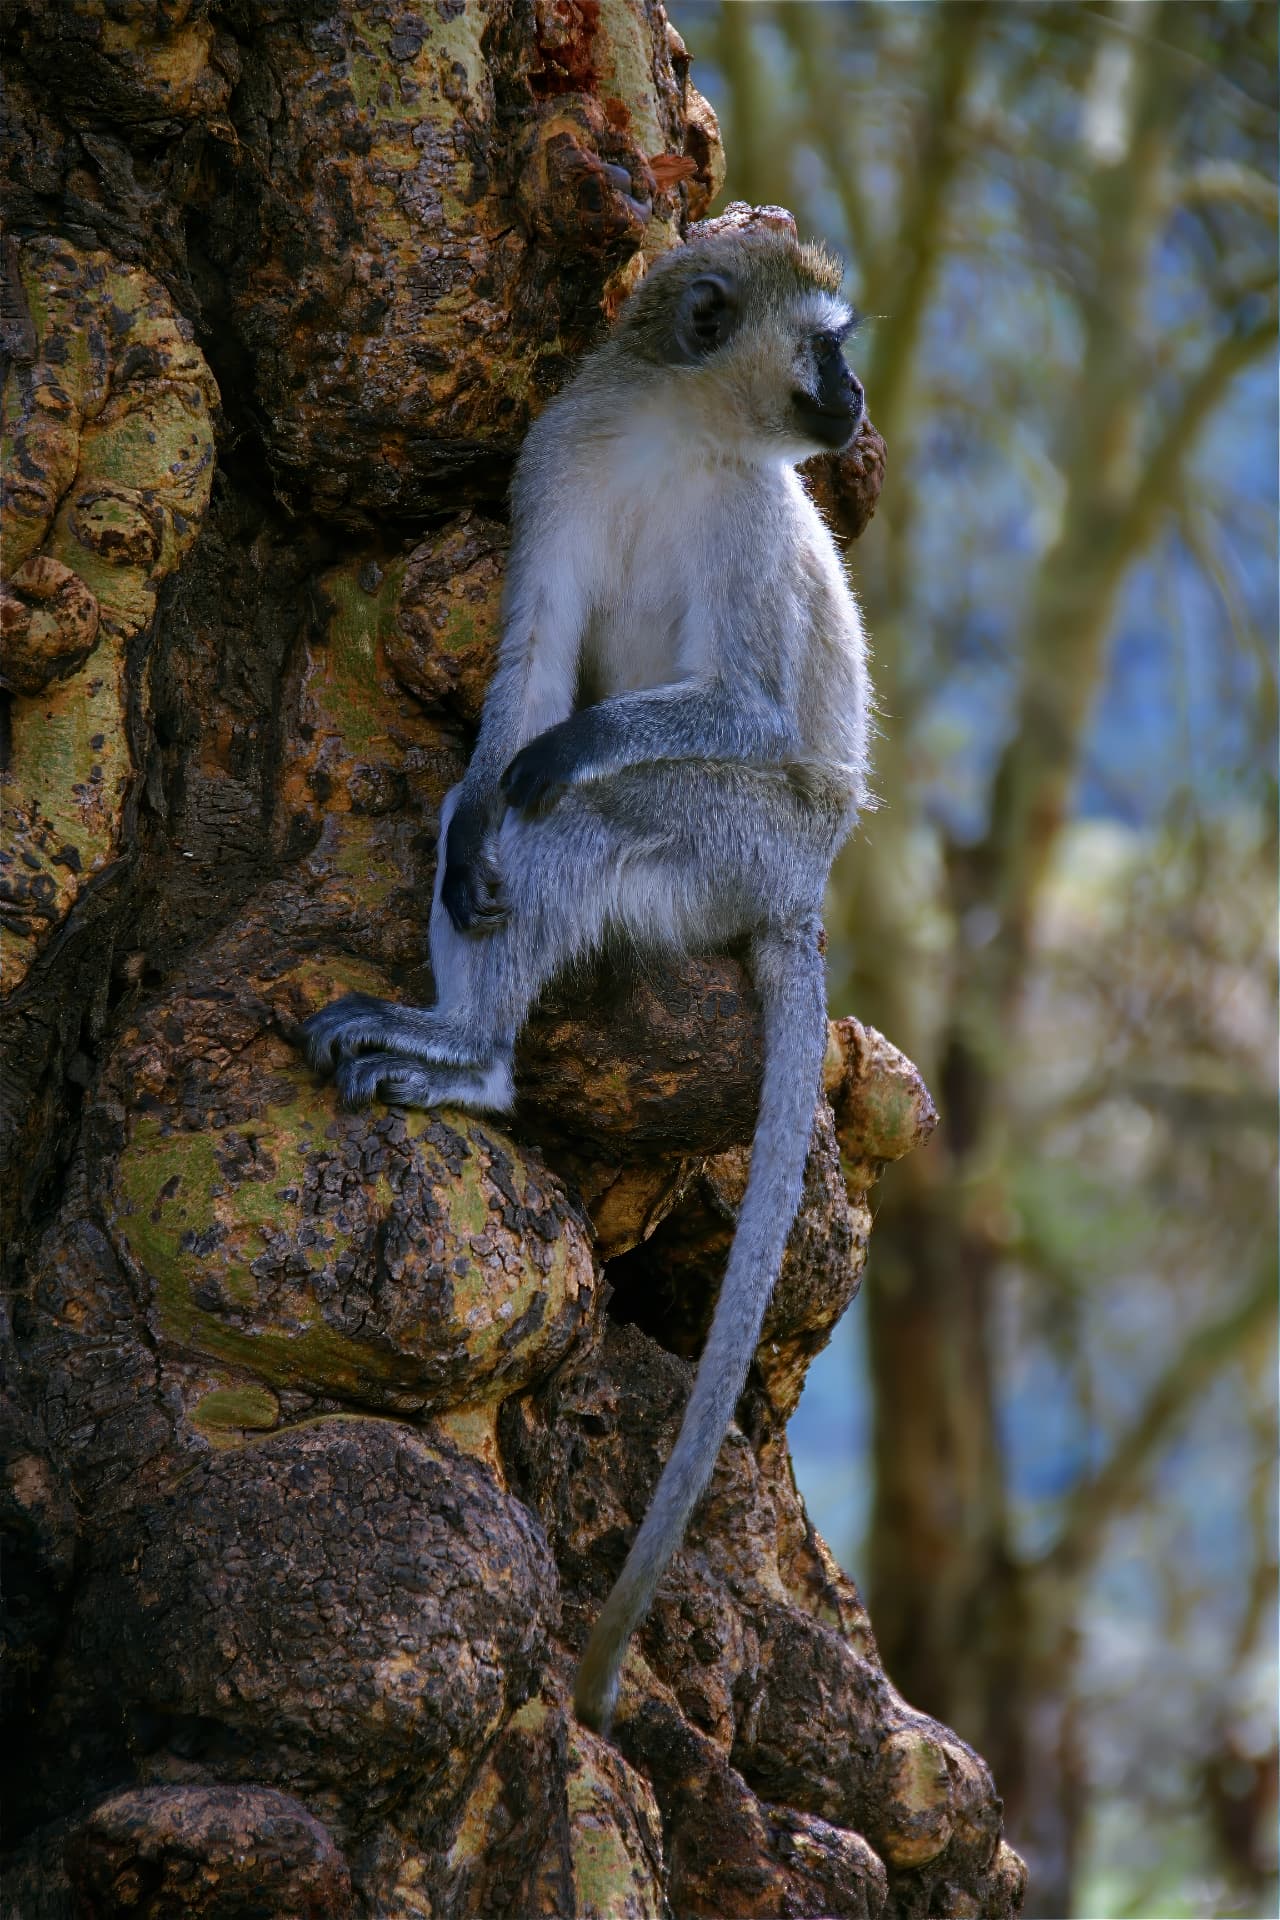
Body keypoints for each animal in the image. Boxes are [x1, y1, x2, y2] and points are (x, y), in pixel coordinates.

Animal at [301, 220, 871, 1735]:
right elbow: (531, 666)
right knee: (477, 814)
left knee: (579, 823)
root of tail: (800, 891)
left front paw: (566, 757)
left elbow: (732, 710)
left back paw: (473, 1053)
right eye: (828, 345)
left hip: (740, 840)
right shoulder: (558, 452)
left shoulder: (753, 523)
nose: (855, 399)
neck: (679, 427)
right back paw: (460, 994)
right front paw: (501, 781)